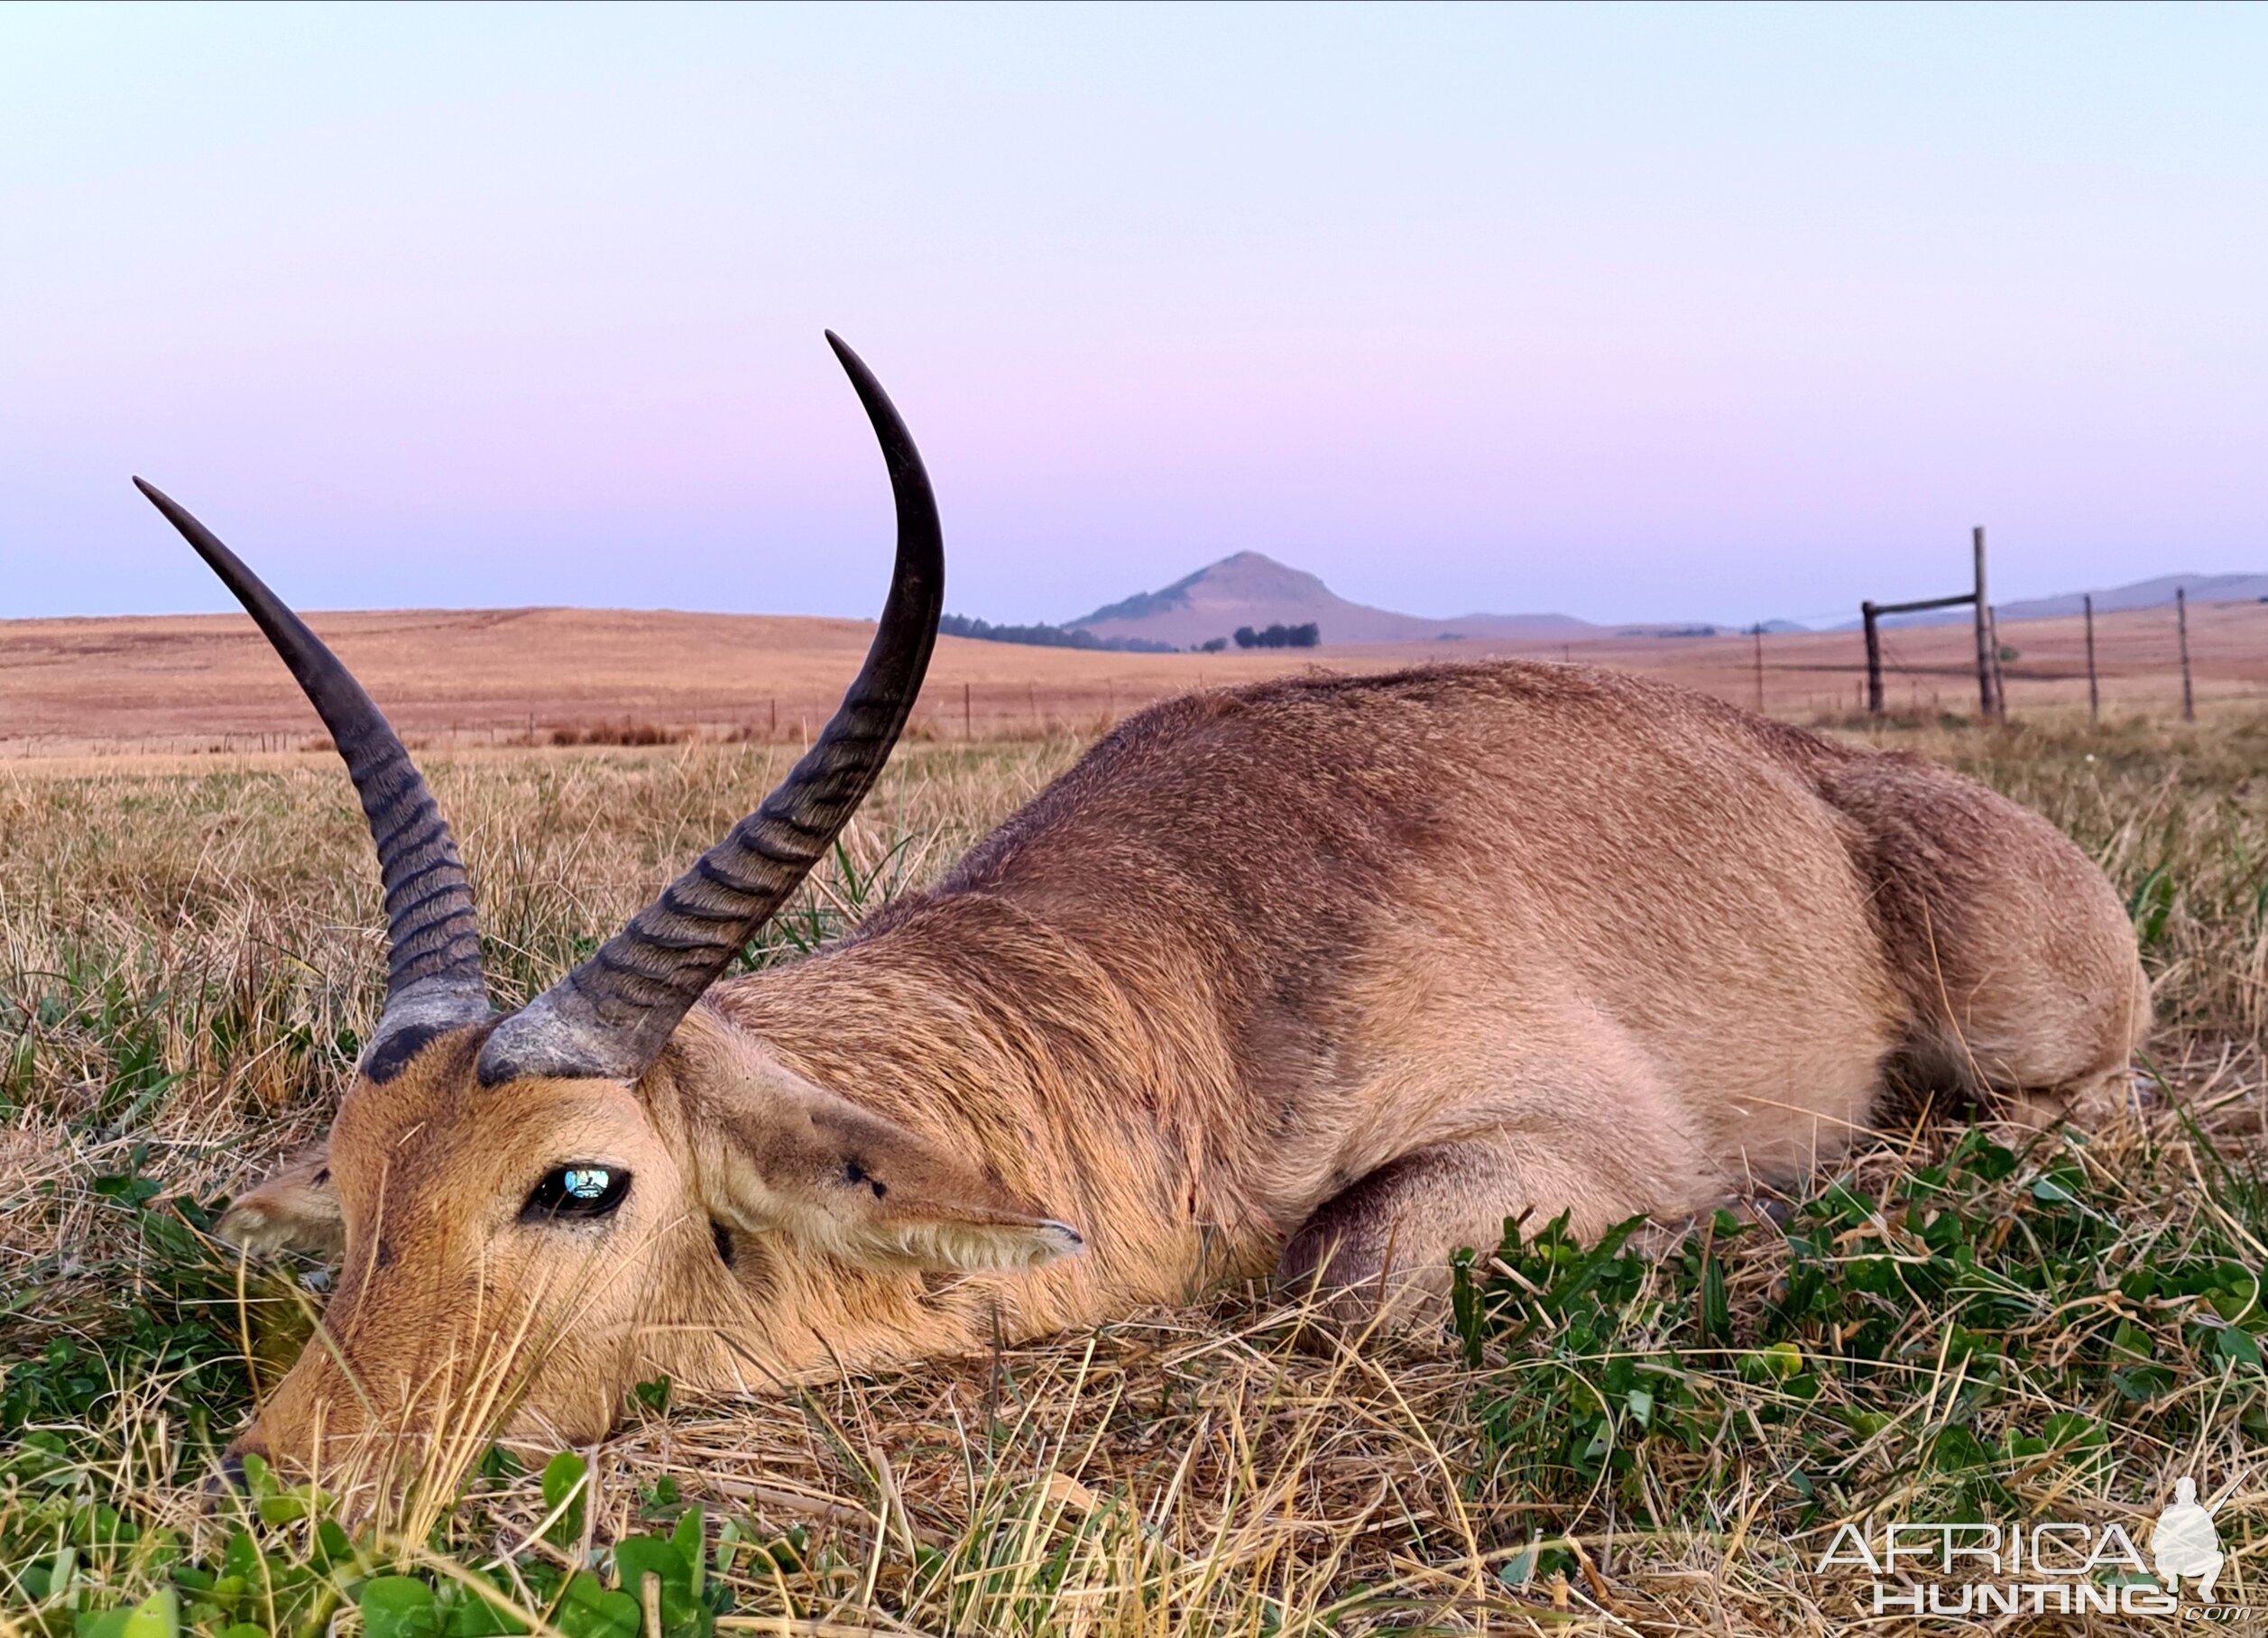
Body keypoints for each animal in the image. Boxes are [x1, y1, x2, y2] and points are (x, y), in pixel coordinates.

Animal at [151, 331, 2150, 1478]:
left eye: (579, 1181)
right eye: (354, 1178)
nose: (280, 1480)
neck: (1182, 977)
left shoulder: (1556, 1139)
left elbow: (1350, 1276)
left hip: (2025, 1026)